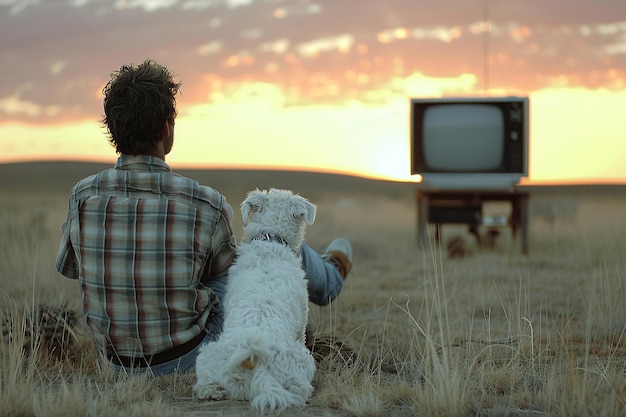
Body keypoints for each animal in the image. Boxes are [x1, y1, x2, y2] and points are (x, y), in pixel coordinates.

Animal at [193, 188, 316, 412]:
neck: (271, 240)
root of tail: (256, 364)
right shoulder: (302, 322)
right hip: (302, 358)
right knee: (299, 387)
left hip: (208, 353)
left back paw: (212, 391)